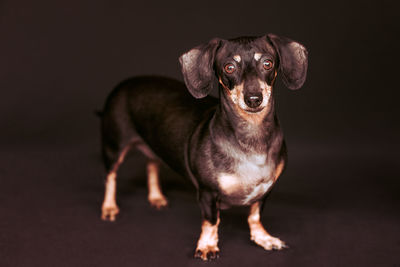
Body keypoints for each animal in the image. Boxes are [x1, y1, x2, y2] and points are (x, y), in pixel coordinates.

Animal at [98, 33, 308, 262]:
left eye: (267, 63)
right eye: (229, 67)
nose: (253, 99)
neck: (251, 138)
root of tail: (126, 83)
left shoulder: (265, 191)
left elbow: (255, 215)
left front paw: (262, 238)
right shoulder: (207, 193)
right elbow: (211, 221)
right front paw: (207, 245)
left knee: (152, 165)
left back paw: (156, 197)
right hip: (114, 148)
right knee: (110, 177)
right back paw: (109, 207)